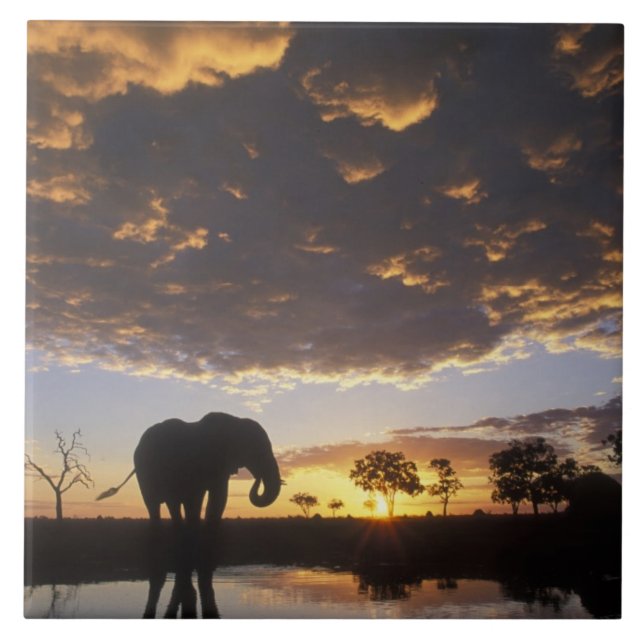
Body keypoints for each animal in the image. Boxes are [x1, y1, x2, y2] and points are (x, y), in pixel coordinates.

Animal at [97, 412, 282, 525]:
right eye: (257, 451)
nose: (258, 477)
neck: (235, 421)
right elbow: (198, 498)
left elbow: (218, 497)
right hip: (146, 472)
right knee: (157, 504)